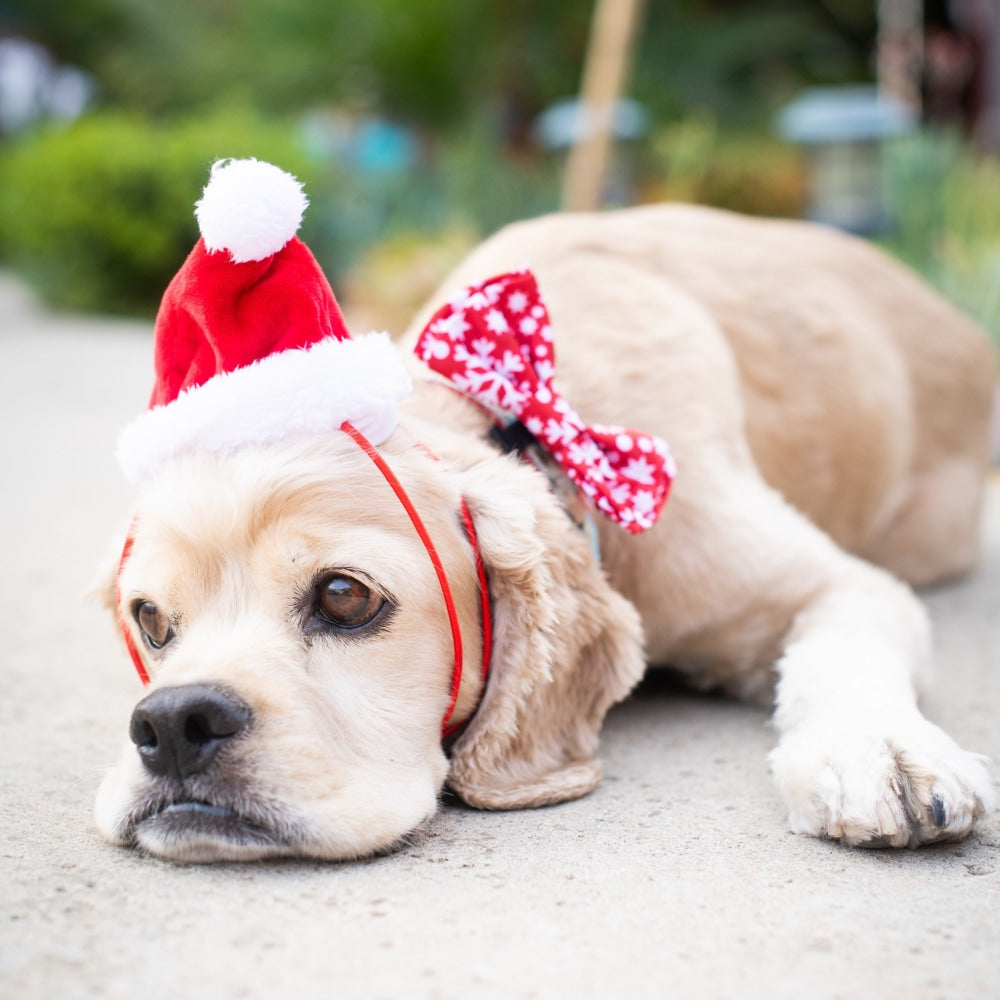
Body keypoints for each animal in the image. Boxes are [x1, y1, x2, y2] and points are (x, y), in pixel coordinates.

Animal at [94, 201, 992, 860]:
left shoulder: (834, 581)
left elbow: (844, 654)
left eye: (346, 597)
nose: (171, 724)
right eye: (150, 619)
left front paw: (883, 749)